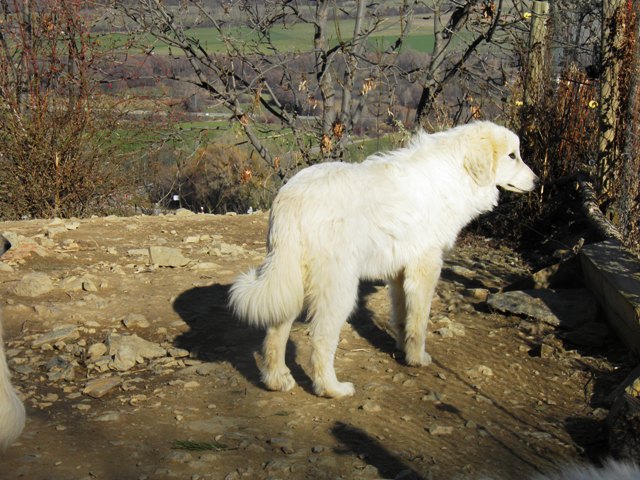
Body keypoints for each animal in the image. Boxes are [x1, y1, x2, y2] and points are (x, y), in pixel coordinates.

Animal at [229, 121, 536, 398]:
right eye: (513, 155)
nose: (537, 181)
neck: (456, 172)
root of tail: (291, 197)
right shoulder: (426, 267)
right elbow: (419, 322)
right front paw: (417, 359)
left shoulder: (400, 274)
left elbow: (402, 318)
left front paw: (402, 350)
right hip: (338, 289)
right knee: (320, 339)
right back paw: (332, 389)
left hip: (290, 279)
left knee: (276, 330)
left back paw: (277, 380)